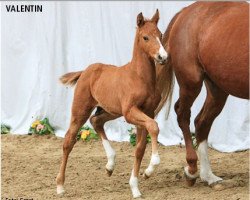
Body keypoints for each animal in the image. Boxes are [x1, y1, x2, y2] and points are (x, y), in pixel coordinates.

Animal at [55, 10, 167, 198]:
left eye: (160, 35)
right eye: (145, 37)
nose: (163, 57)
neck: (139, 78)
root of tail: (86, 71)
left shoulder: (147, 112)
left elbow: (140, 148)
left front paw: (136, 185)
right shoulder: (130, 113)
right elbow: (154, 126)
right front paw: (151, 168)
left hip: (111, 110)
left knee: (96, 121)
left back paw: (110, 165)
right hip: (81, 109)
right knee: (69, 140)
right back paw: (60, 186)